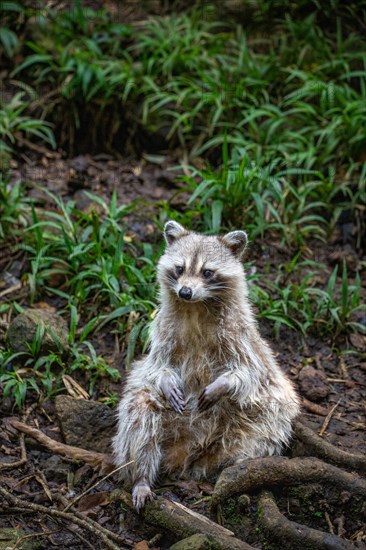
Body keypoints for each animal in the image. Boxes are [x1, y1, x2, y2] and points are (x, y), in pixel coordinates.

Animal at [112, 222, 300, 512]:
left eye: (207, 272)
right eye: (180, 268)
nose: (185, 292)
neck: (196, 307)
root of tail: (186, 455)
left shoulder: (240, 336)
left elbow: (248, 372)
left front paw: (222, 385)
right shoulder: (162, 331)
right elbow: (156, 367)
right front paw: (166, 380)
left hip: (259, 417)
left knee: (269, 424)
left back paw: (237, 467)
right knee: (140, 415)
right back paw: (141, 476)